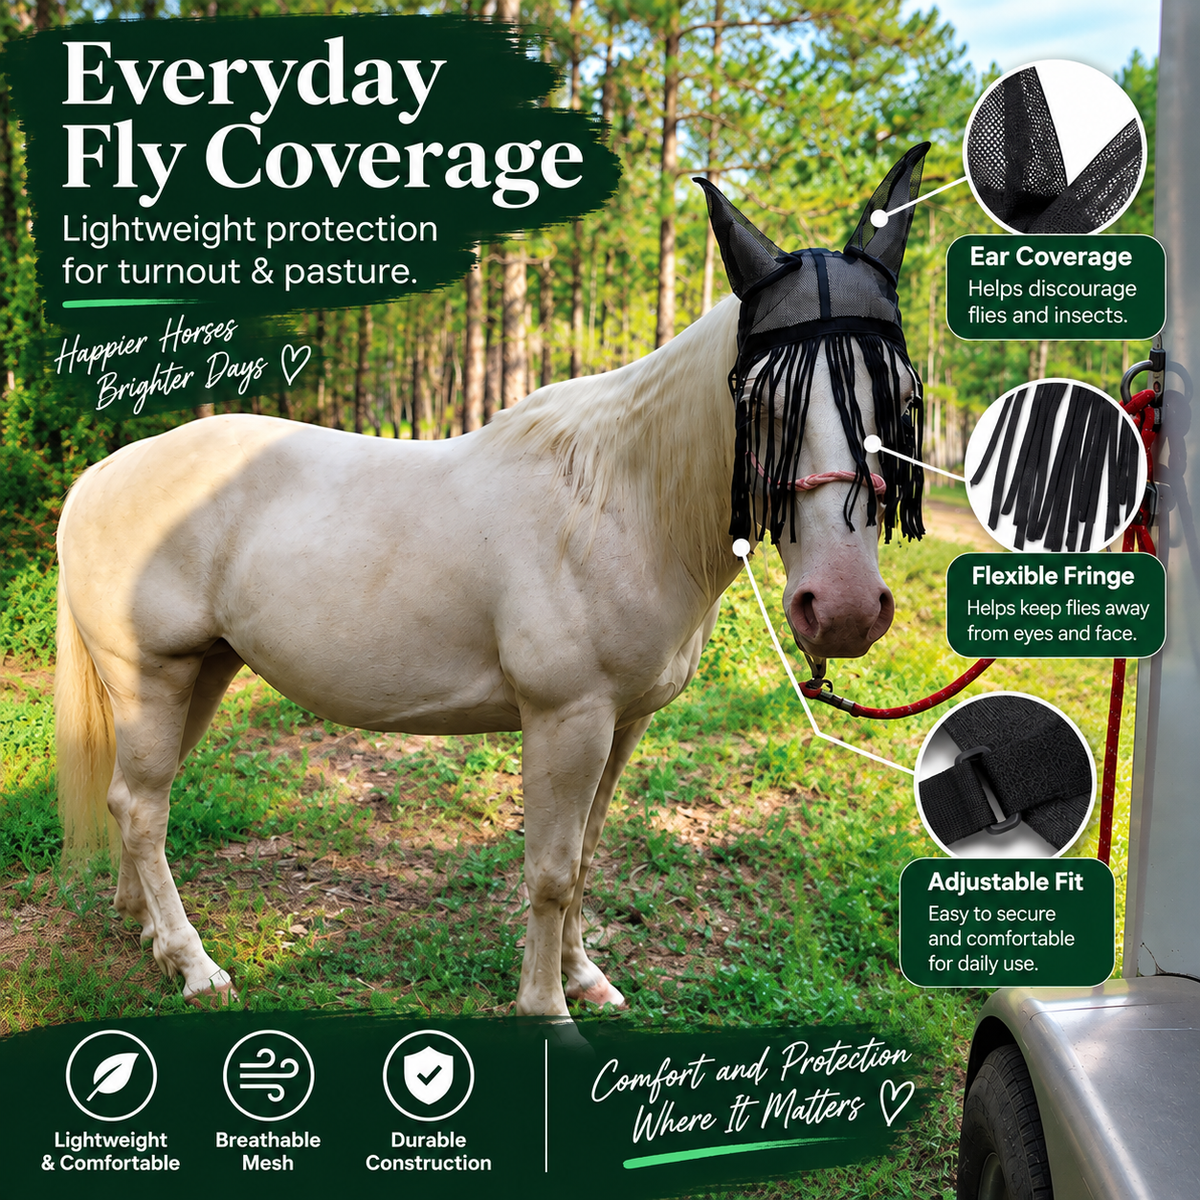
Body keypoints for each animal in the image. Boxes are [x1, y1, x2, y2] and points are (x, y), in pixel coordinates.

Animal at [54, 149, 928, 1016]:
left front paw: (585, 977)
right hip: (152, 677)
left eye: (905, 398)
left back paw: (146, 930)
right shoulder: (566, 721)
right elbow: (549, 872)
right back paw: (195, 963)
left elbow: (585, 854)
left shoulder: (623, 724)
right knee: (142, 810)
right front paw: (547, 1007)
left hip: (201, 674)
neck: (618, 502)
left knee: (135, 798)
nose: (844, 609)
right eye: (761, 401)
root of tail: (99, 476)